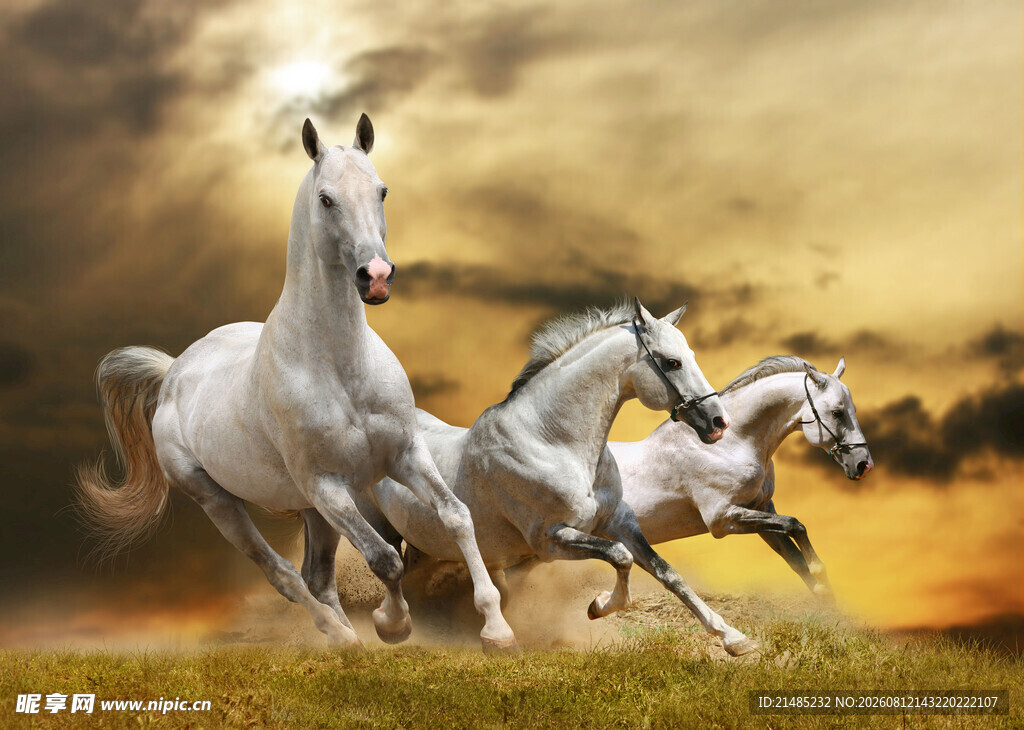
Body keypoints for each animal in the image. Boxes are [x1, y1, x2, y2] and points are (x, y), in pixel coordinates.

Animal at [75, 115, 516, 652]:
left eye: (382, 190)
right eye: (326, 198)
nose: (376, 277)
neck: (341, 371)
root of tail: (175, 370)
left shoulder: (403, 456)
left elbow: (455, 515)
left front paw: (496, 628)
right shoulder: (328, 486)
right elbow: (385, 557)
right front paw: (392, 625)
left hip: (311, 511)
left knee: (316, 577)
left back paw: (347, 636)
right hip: (222, 501)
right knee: (283, 574)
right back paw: (340, 635)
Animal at [341, 299, 758, 656]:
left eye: (691, 356)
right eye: (672, 363)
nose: (718, 422)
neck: (553, 441)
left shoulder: (619, 522)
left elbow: (667, 573)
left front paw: (735, 639)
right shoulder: (550, 540)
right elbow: (620, 558)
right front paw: (599, 606)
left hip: (424, 543)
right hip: (381, 525)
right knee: (385, 565)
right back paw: (393, 626)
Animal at [610, 355, 873, 597]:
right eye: (837, 412)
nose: (864, 465)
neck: (731, 444)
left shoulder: (761, 510)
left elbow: (797, 561)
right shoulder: (722, 518)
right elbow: (795, 525)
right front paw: (820, 573)